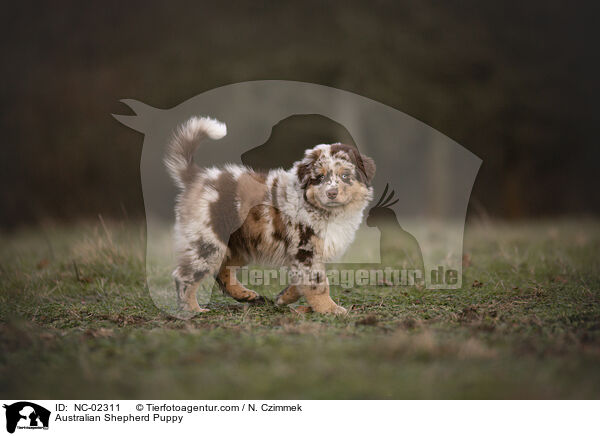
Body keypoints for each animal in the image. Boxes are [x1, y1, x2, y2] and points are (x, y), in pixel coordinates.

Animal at [164, 116, 376, 314]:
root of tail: (198, 178)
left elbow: (301, 282)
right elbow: (317, 283)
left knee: (223, 270)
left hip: (239, 244)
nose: (331, 193)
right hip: (208, 241)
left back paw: (246, 295)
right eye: (320, 177)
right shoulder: (305, 249)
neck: (328, 212)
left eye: (345, 176)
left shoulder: (306, 255)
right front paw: (330, 309)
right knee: (185, 275)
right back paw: (193, 310)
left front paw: (284, 297)